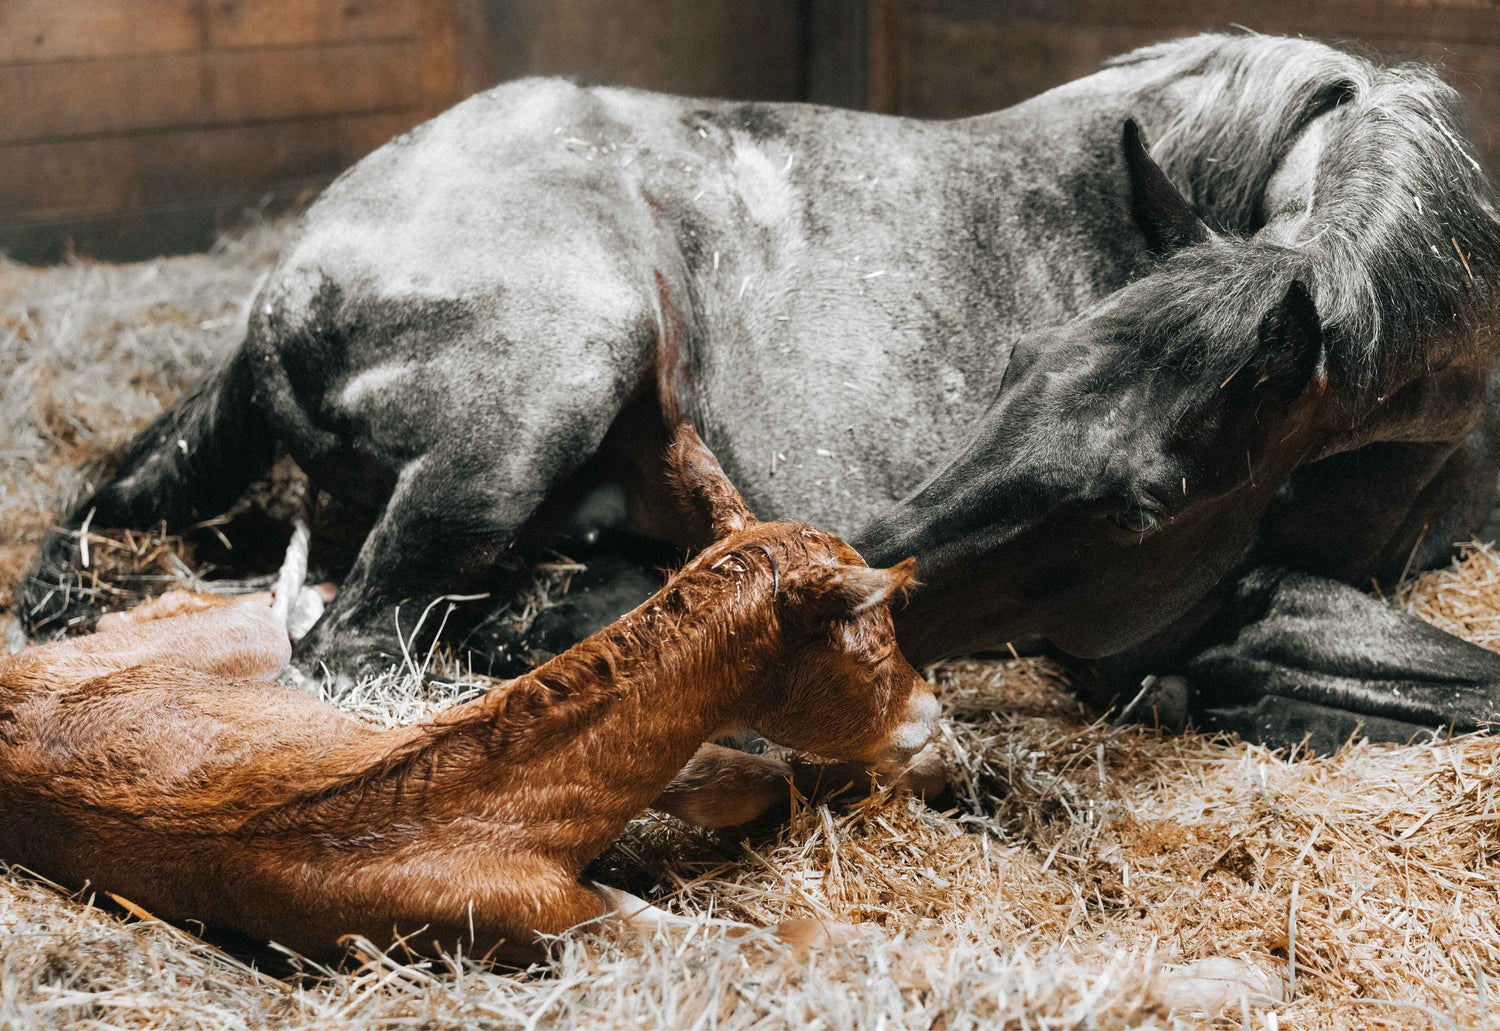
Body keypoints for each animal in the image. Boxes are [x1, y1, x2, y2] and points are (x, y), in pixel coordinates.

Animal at [0, 424, 938, 963]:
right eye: (873, 640)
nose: (930, 713)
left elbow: (742, 773)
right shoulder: (564, 924)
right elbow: (778, 939)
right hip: (239, 635)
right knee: (251, 608)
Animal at [20, 33, 1500, 752]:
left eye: (1144, 501)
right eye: (1017, 371)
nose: (870, 572)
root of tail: (287, 283)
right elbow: (1443, 684)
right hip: (547, 380)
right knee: (364, 646)